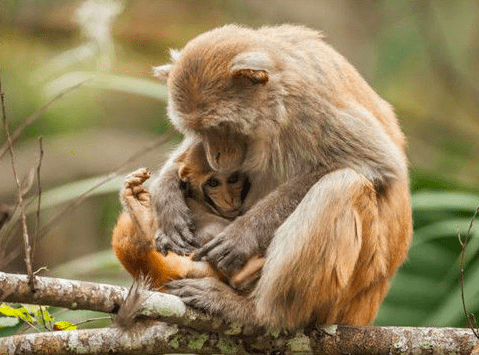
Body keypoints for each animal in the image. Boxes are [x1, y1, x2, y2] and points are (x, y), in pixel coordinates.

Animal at [150, 25, 412, 330]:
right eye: (200, 131)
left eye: (221, 127)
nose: (216, 155)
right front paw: (167, 199)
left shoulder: (310, 107)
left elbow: (379, 163)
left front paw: (244, 234)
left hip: (348, 297)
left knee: (342, 185)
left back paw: (257, 313)